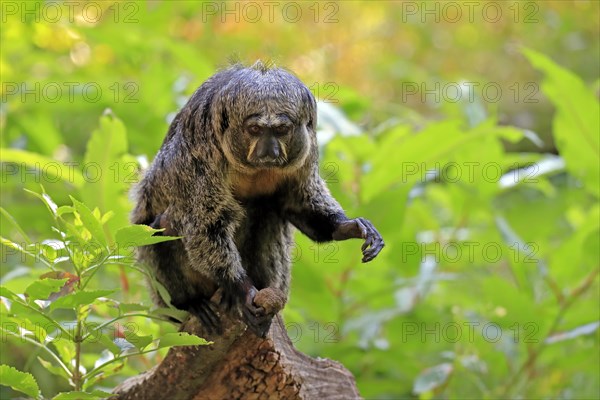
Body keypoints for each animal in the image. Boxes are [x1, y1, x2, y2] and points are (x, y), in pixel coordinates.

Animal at [131, 61, 384, 338]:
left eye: (281, 130)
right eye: (255, 130)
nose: (268, 150)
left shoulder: (307, 150)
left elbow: (298, 204)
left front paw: (349, 227)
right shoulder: (199, 156)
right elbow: (205, 228)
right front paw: (243, 290)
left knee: (267, 210)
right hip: (160, 299)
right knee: (163, 226)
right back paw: (192, 303)